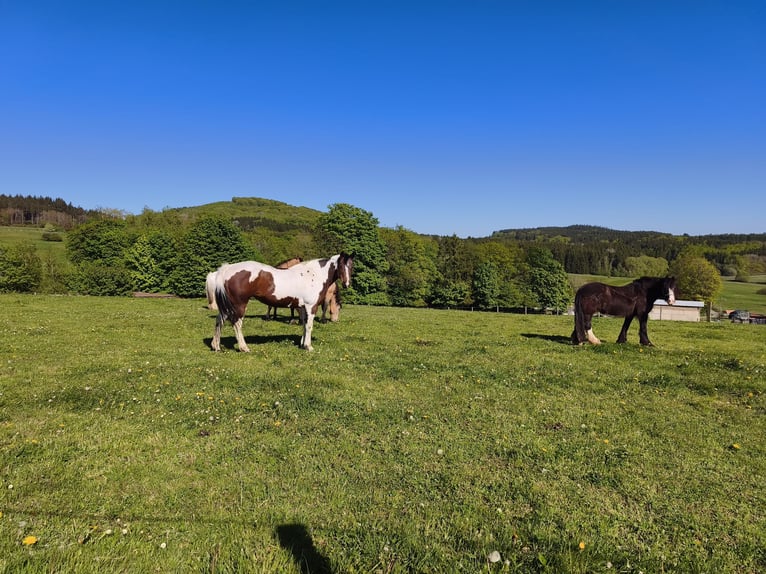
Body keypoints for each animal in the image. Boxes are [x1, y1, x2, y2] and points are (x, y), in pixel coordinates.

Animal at [212, 253, 353, 352]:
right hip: (239, 305)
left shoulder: (302, 308)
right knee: (237, 324)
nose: (346, 284)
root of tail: (227, 268)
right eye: (341, 265)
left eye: (351, 266)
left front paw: (302, 344)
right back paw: (244, 347)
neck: (313, 275)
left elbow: (304, 325)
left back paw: (216, 346)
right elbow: (309, 326)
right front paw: (308, 346)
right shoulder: (310, 307)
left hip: (227, 306)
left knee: (219, 321)